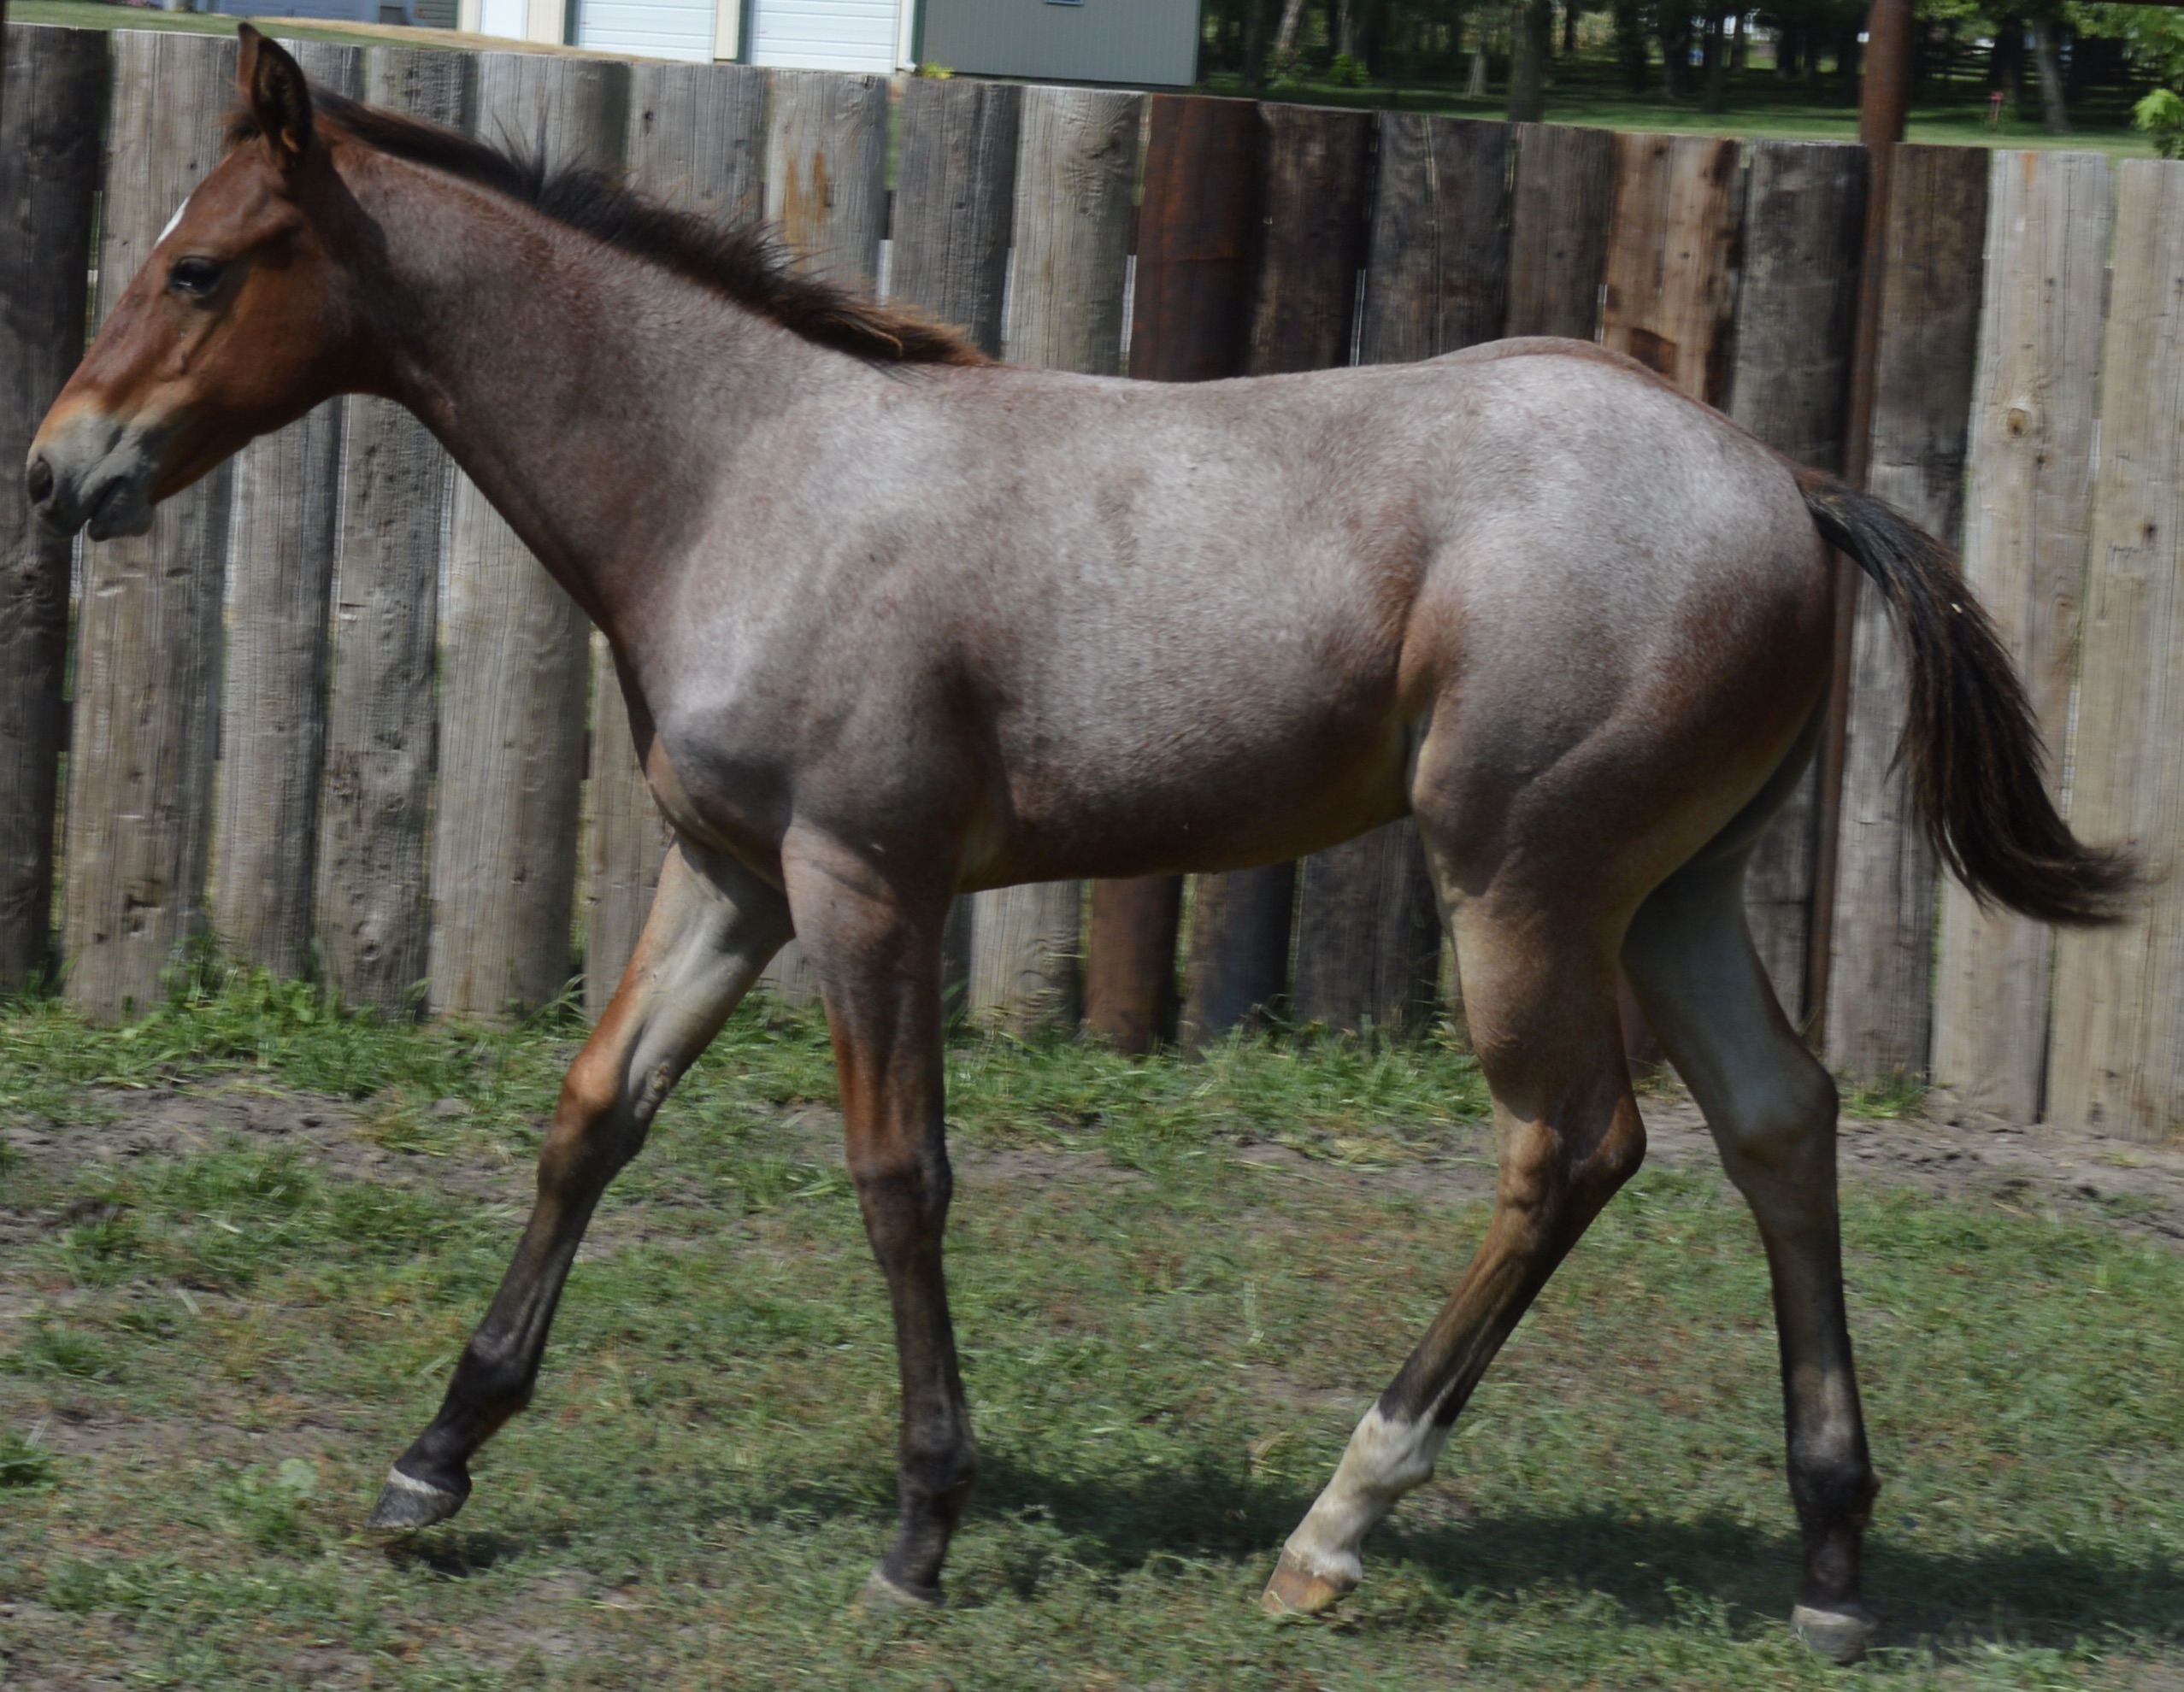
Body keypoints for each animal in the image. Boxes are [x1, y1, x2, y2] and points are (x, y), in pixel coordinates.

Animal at [28, 29, 2132, 1662]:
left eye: (204, 267)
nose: (62, 472)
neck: (744, 470)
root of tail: (1782, 477)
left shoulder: (861, 888)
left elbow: (899, 1180)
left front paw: (917, 1531)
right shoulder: (727, 880)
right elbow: (591, 1115)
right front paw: (434, 1459)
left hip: (1522, 889)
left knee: (1576, 1145)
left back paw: (1335, 1526)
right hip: (1672, 894)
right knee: (1780, 1123)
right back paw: (1830, 1557)